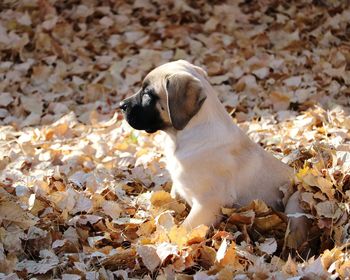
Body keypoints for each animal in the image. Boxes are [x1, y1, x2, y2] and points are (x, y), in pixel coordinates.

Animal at [120, 59, 306, 238]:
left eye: (147, 94)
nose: (121, 105)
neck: (181, 137)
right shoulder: (179, 189)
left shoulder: (207, 204)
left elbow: (184, 230)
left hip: (295, 202)